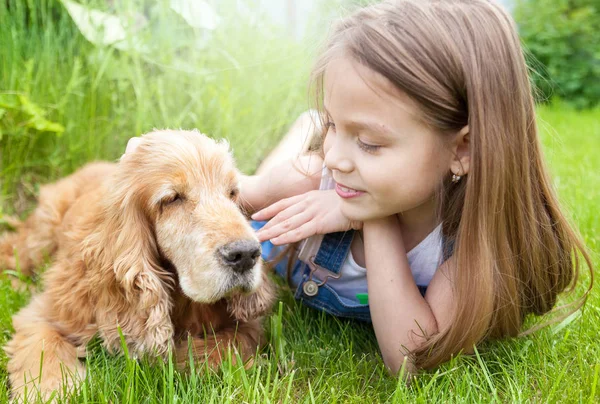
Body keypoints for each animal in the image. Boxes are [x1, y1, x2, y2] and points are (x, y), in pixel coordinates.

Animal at [0, 130, 276, 400]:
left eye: (232, 194)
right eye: (172, 198)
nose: (246, 254)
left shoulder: (247, 326)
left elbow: (232, 343)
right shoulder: (50, 312)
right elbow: (44, 347)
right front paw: (49, 390)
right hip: (41, 236)